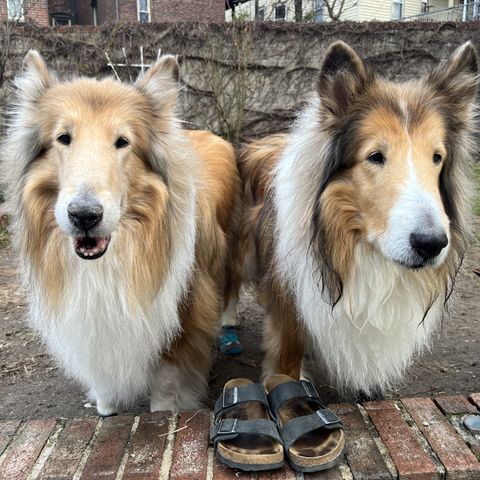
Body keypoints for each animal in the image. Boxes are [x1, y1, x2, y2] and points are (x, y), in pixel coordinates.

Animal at [2, 50, 244, 414]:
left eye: (122, 142)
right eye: (63, 138)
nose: (84, 215)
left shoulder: (180, 317)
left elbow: (166, 381)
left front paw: (163, 412)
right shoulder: (93, 325)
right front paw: (105, 408)